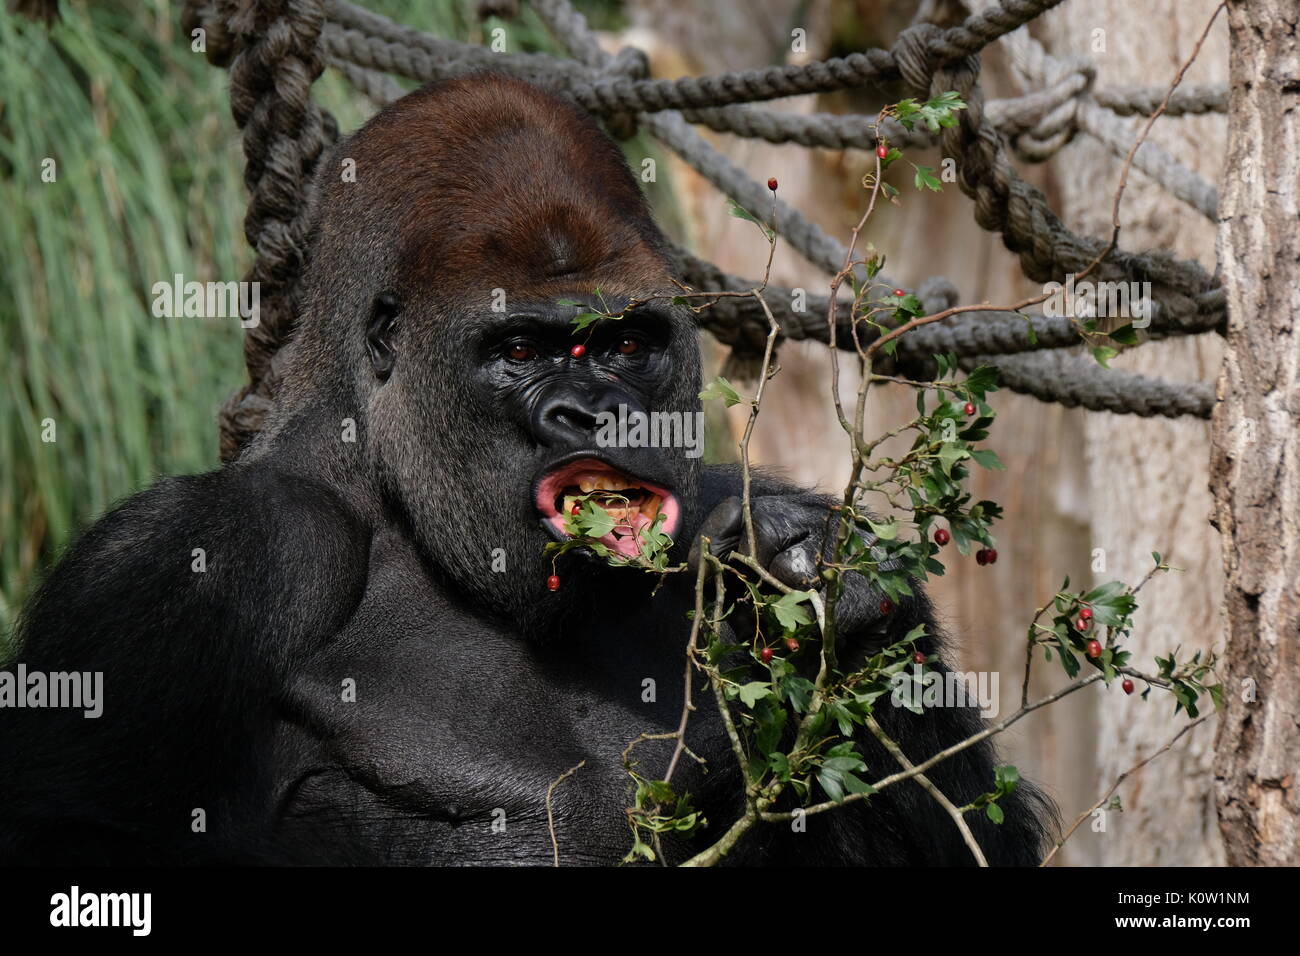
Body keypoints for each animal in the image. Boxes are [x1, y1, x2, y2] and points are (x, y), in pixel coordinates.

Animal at [0, 74, 1050, 868]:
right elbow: (67, 831)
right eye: (516, 349)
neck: (402, 502)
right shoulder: (196, 558)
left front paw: (830, 592)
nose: (593, 412)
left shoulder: (727, 496)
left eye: (624, 342)